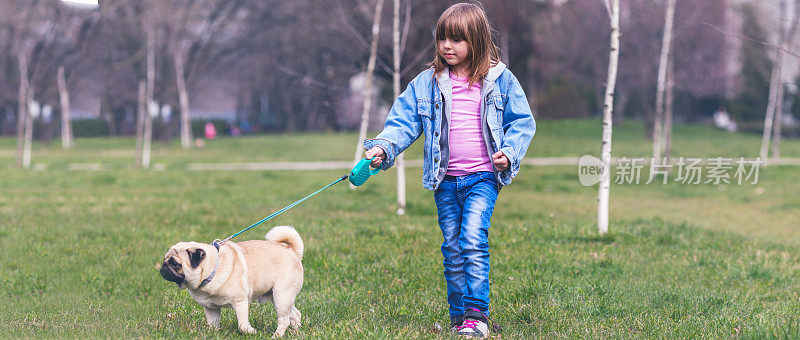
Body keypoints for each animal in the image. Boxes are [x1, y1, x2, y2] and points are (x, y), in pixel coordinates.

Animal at [159, 226, 304, 338]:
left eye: (175, 264)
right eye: (165, 260)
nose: (163, 268)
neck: (213, 269)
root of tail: (292, 251)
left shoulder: (240, 302)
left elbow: (242, 325)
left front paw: (252, 332)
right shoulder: (210, 308)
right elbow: (212, 324)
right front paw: (213, 334)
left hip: (281, 296)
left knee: (284, 320)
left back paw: (276, 336)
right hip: (279, 297)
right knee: (295, 315)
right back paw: (296, 332)